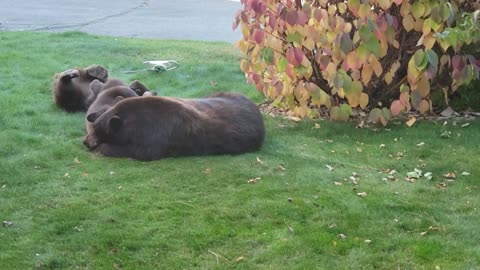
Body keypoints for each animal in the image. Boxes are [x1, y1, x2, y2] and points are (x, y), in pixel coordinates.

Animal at [82, 93, 262, 160]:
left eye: (99, 130)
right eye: (94, 128)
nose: (85, 141)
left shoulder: (154, 140)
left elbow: (138, 151)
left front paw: (102, 147)